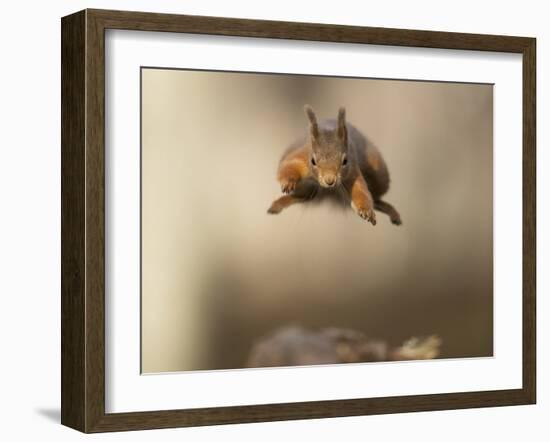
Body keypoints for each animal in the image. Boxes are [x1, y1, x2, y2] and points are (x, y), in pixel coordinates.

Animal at [270, 105, 404, 226]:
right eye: (313, 161)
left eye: (345, 161)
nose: (330, 181)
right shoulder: (301, 157)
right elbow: (289, 167)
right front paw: (288, 182)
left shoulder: (352, 169)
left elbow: (360, 191)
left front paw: (366, 211)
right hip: (304, 186)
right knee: (302, 197)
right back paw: (278, 204)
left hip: (378, 175)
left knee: (376, 199)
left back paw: (391, 211)